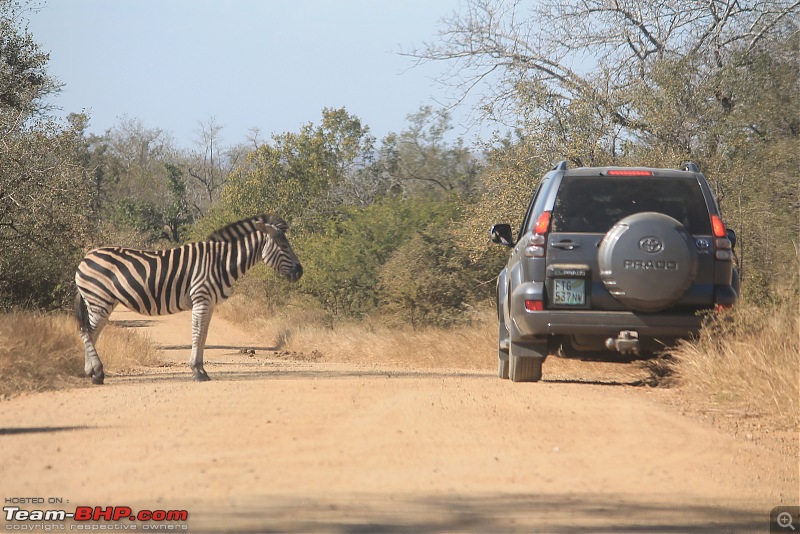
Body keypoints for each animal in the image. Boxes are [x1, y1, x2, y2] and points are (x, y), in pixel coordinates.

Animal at [74, 214, 304, 386]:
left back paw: (91, 372)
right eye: (283, 245)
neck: (220, 262)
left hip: (103, 301)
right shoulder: (201, 298)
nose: (300, 272)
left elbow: (203, 336)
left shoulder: (209, 303)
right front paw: (197, 371)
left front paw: (201, 370)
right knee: (86, 332)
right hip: (98, 300)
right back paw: (98, 374)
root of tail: (85, 257)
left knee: (92, 333)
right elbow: (197, 334)